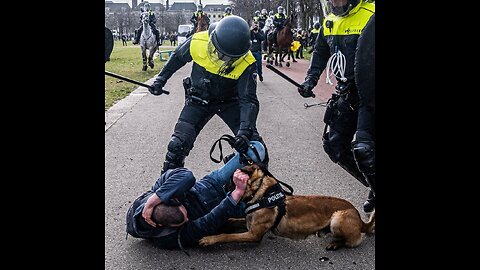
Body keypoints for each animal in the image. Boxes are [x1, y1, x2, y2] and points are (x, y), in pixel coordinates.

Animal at [199, 163, 376, 250]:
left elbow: (226, 236)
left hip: (338, 218)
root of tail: (361, 221)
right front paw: (225, 222)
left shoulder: (253, 234)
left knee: (351, 241)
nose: (222, 188)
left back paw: (335, 244)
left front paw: (209, 239)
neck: (261, 193)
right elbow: (234, 218)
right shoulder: (248, 222)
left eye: (231, 180)